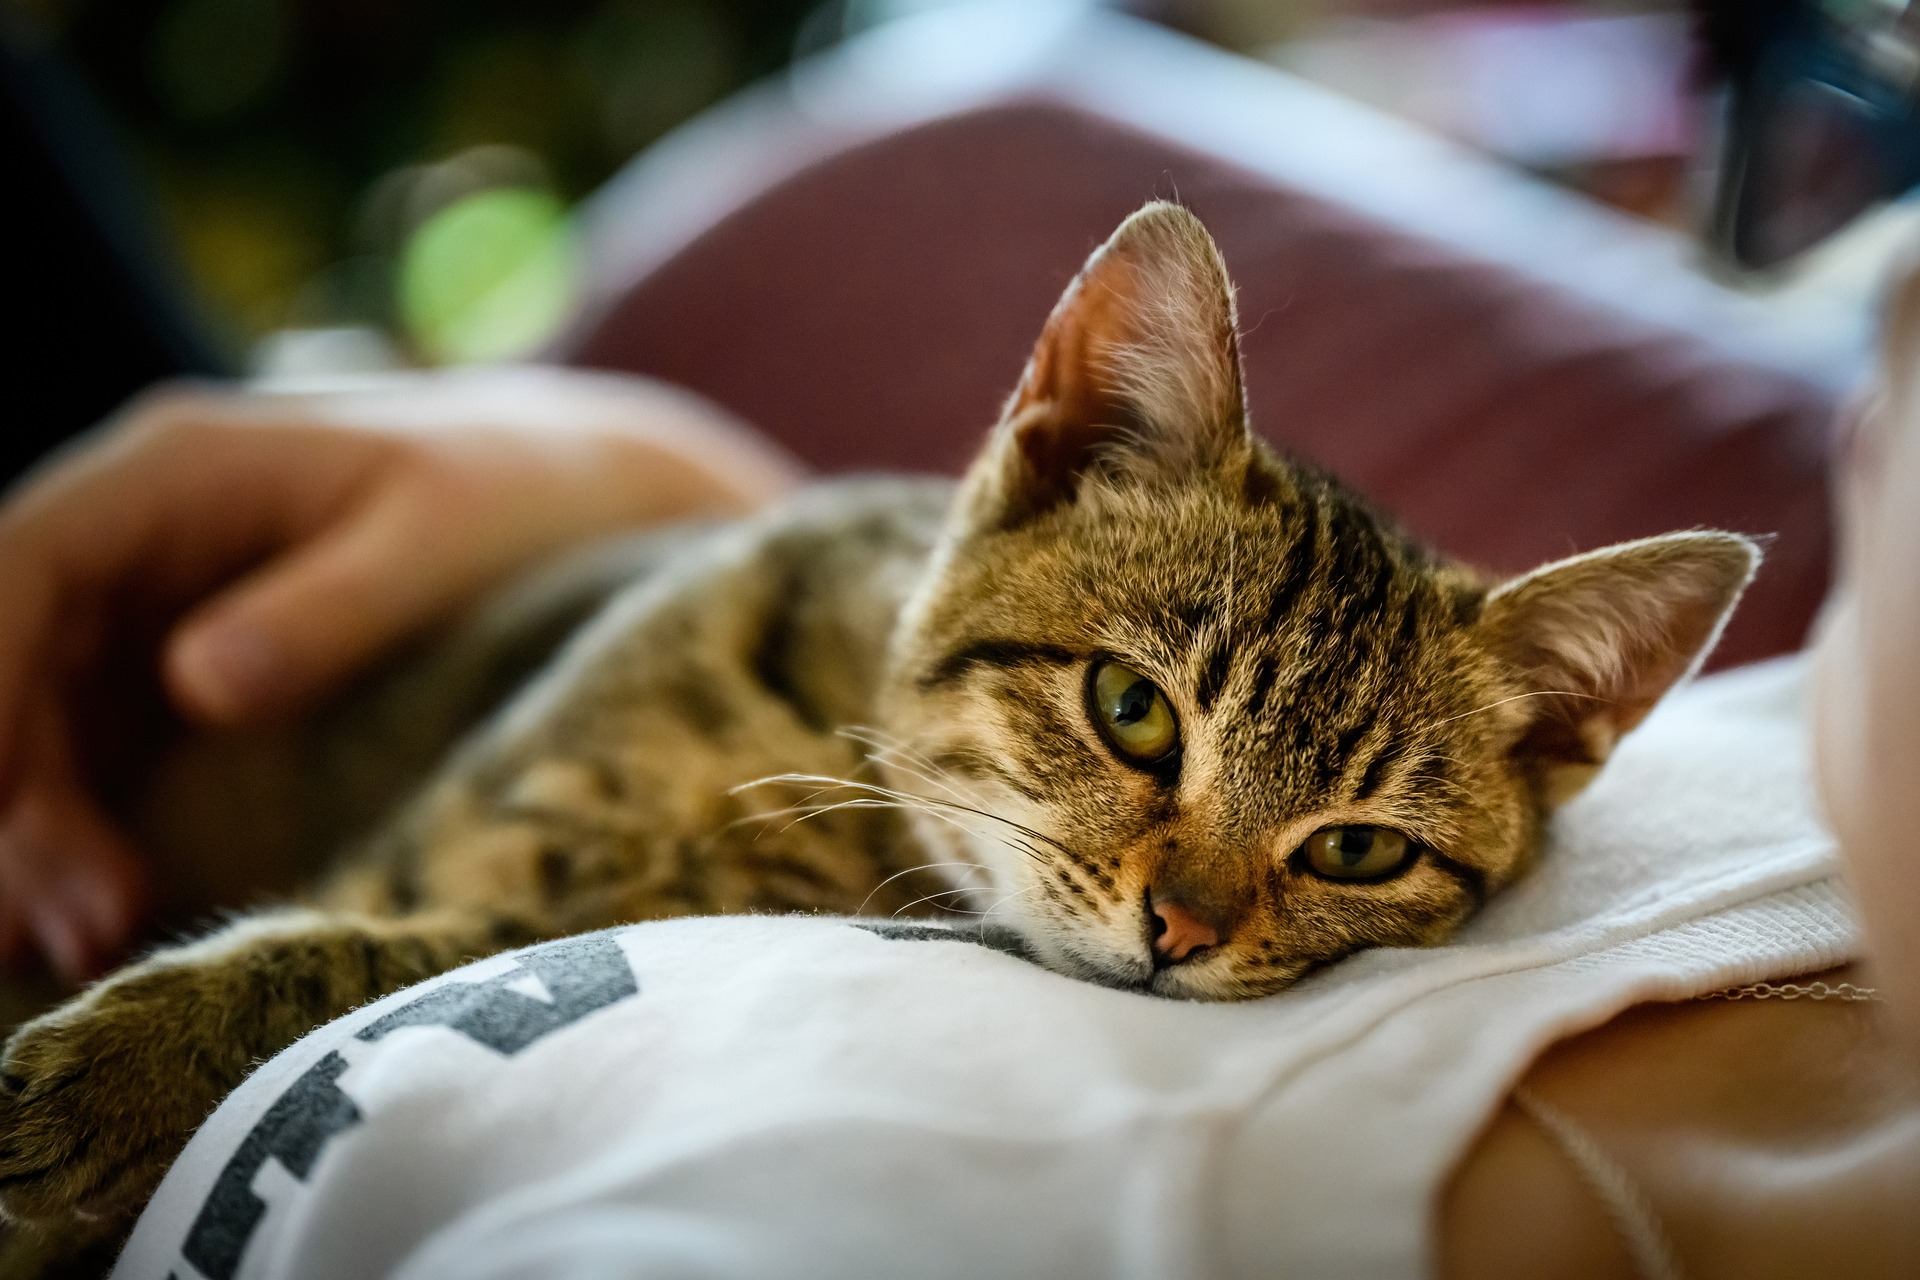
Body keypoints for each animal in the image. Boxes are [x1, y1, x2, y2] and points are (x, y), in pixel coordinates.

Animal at [0, 202, 1758, 1251]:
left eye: (1360, 853)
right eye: (1132, 712)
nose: (1182, 933)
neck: (808, 757)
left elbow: (363, 959)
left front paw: (114, 1071)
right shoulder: (439, 835)